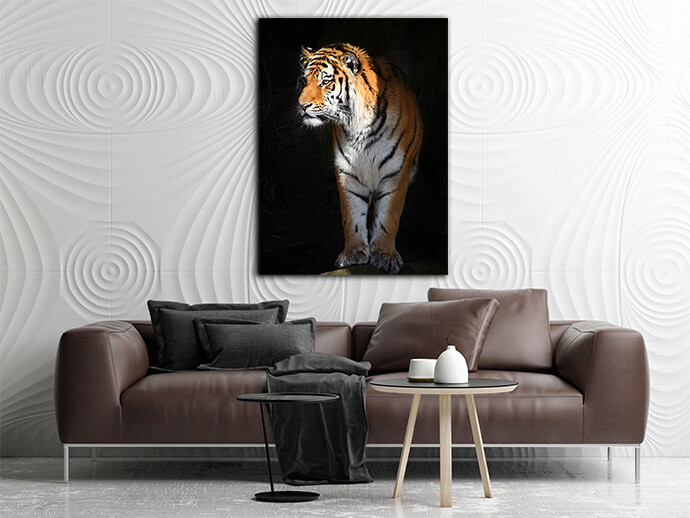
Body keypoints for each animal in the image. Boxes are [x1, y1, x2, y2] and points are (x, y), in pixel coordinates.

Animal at [297, 43, 423, 274]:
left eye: (325, 81)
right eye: (303, 81)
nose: (302, 106)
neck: (358, 126)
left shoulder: (396, 171)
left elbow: (388, 217)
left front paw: (385, 255)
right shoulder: (348, 173)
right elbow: (352, 216)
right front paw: (353, 253)